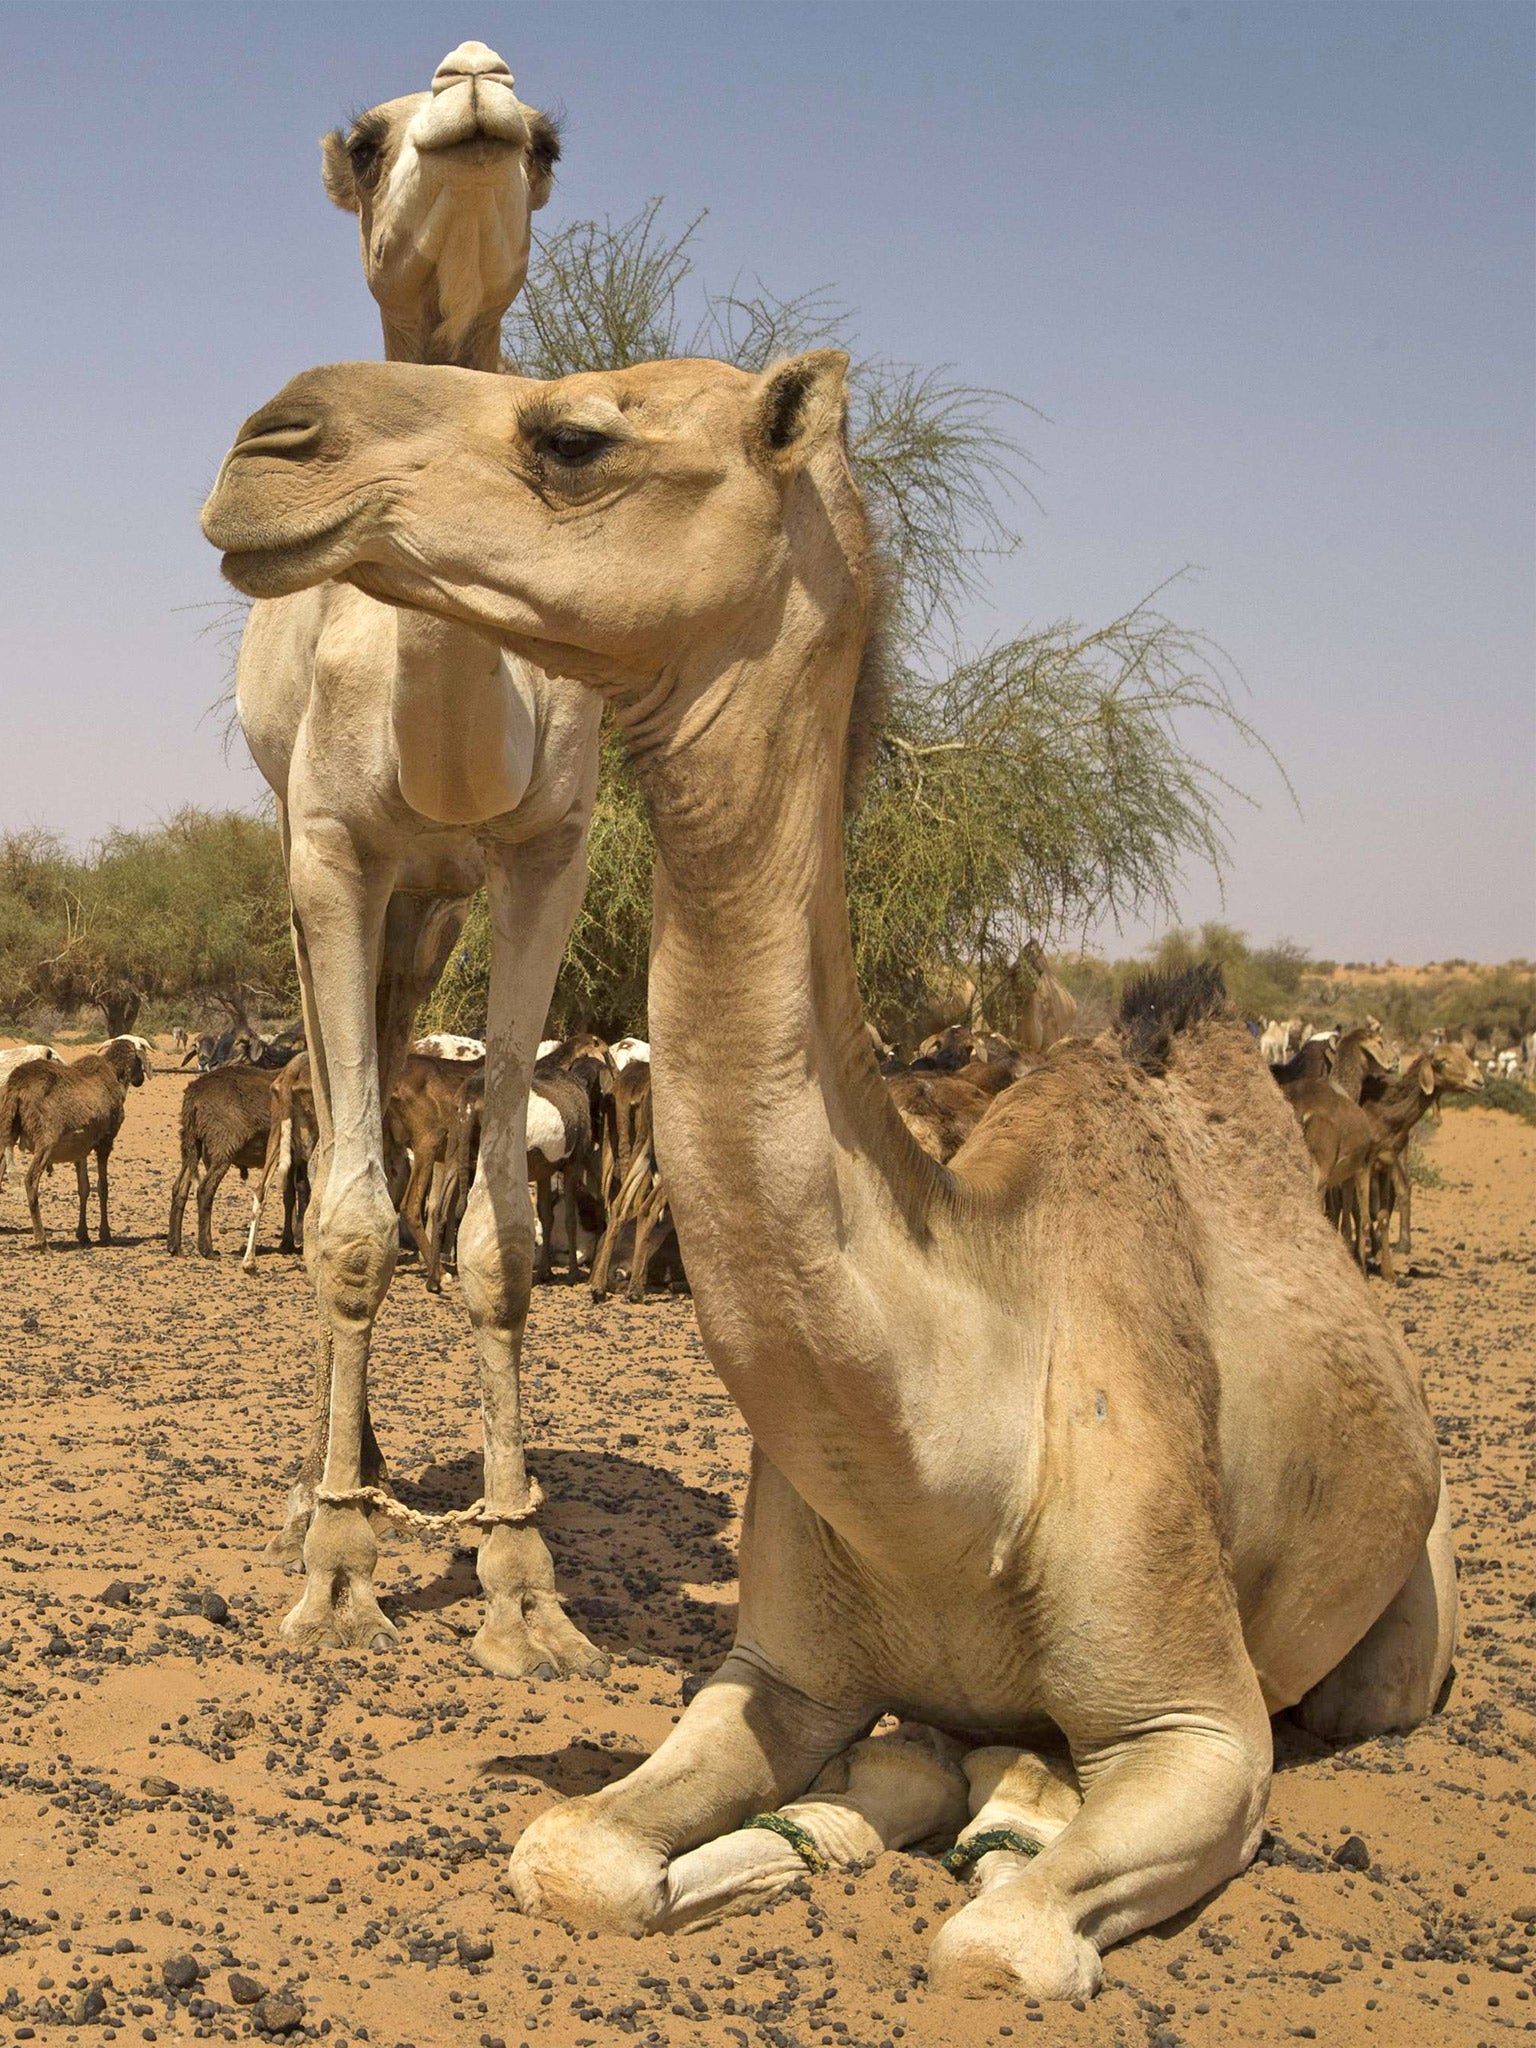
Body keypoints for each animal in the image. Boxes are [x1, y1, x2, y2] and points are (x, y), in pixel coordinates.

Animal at [0, 1040, 145, 1245]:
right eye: (139, 1061)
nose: (140, 1079)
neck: (114, 1073)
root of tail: (16, 1087)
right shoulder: (105, 1141)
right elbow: (103, 1187)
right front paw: (105, 1234)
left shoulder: (80, 1147)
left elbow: (83, 1187)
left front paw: (83, 1234)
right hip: (45, 1140)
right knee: (30, 1180)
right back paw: (42, 1241)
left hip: (7, 1130)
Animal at [204, 348, 1458, 1998]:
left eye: (574, 435)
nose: (269, 442)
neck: (954, 1444)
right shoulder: (772, 1667)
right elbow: (575, 1853)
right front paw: (830, 1818)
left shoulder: (1202, 1723)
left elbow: (997, 1944)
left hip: (1404, 1627)